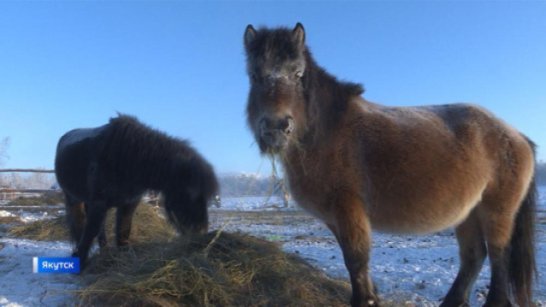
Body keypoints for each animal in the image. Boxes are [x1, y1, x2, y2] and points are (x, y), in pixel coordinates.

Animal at [54, 114, 217, 266]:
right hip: (74, 199)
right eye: (189, 193)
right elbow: (90, 230)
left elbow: (124, 230)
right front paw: (81, 261)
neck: (128, 158)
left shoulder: (129, 203)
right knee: (80, 224)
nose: (201, 233)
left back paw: (105, 250)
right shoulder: (99, 203)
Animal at [243, 24, 536, 307]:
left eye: (297, 74)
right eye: (255, 76)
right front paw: (373, 297)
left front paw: (364, 300)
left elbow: (356, 258)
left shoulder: (348, 209)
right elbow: (353, 261)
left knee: (498, 254)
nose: (276, 128)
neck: (328, 133)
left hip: (497, 211)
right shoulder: (334, 218)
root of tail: (516, 136)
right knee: (474, 254)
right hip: (468, 212)